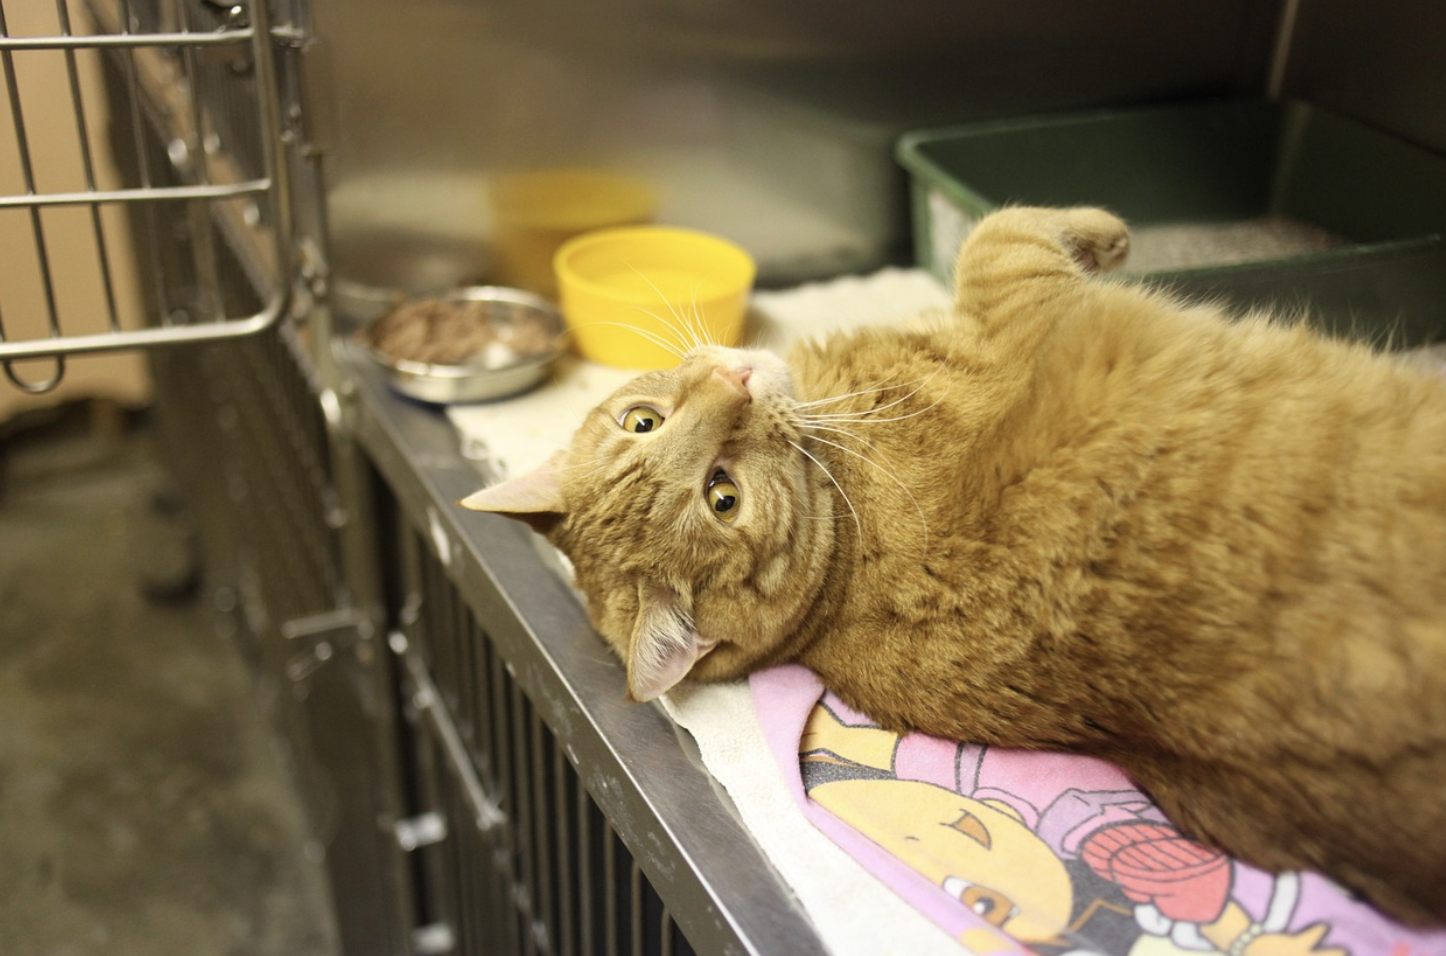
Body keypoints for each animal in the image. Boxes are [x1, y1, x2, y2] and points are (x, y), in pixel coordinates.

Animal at [461, 206, 1446, 925]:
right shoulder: (1010, 305)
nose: (734, 383)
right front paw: (1106, 231)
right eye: (722, 496)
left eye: (643, 422)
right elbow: (999, 232)